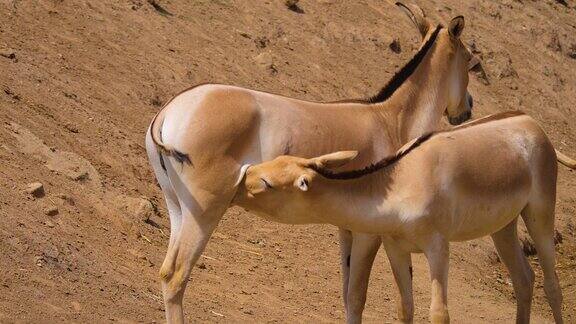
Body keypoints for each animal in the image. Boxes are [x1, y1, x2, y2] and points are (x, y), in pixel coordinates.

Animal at [236, 111, 564, 324]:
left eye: (266, 183)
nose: (237, 183)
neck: (401, 185)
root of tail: (529, 121)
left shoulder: (437, 247)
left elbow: (439, 313)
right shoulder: (395, 247)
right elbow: (404, 309)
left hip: (540, 213)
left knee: (552, 287)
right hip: (503, 226)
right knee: (524, 280)